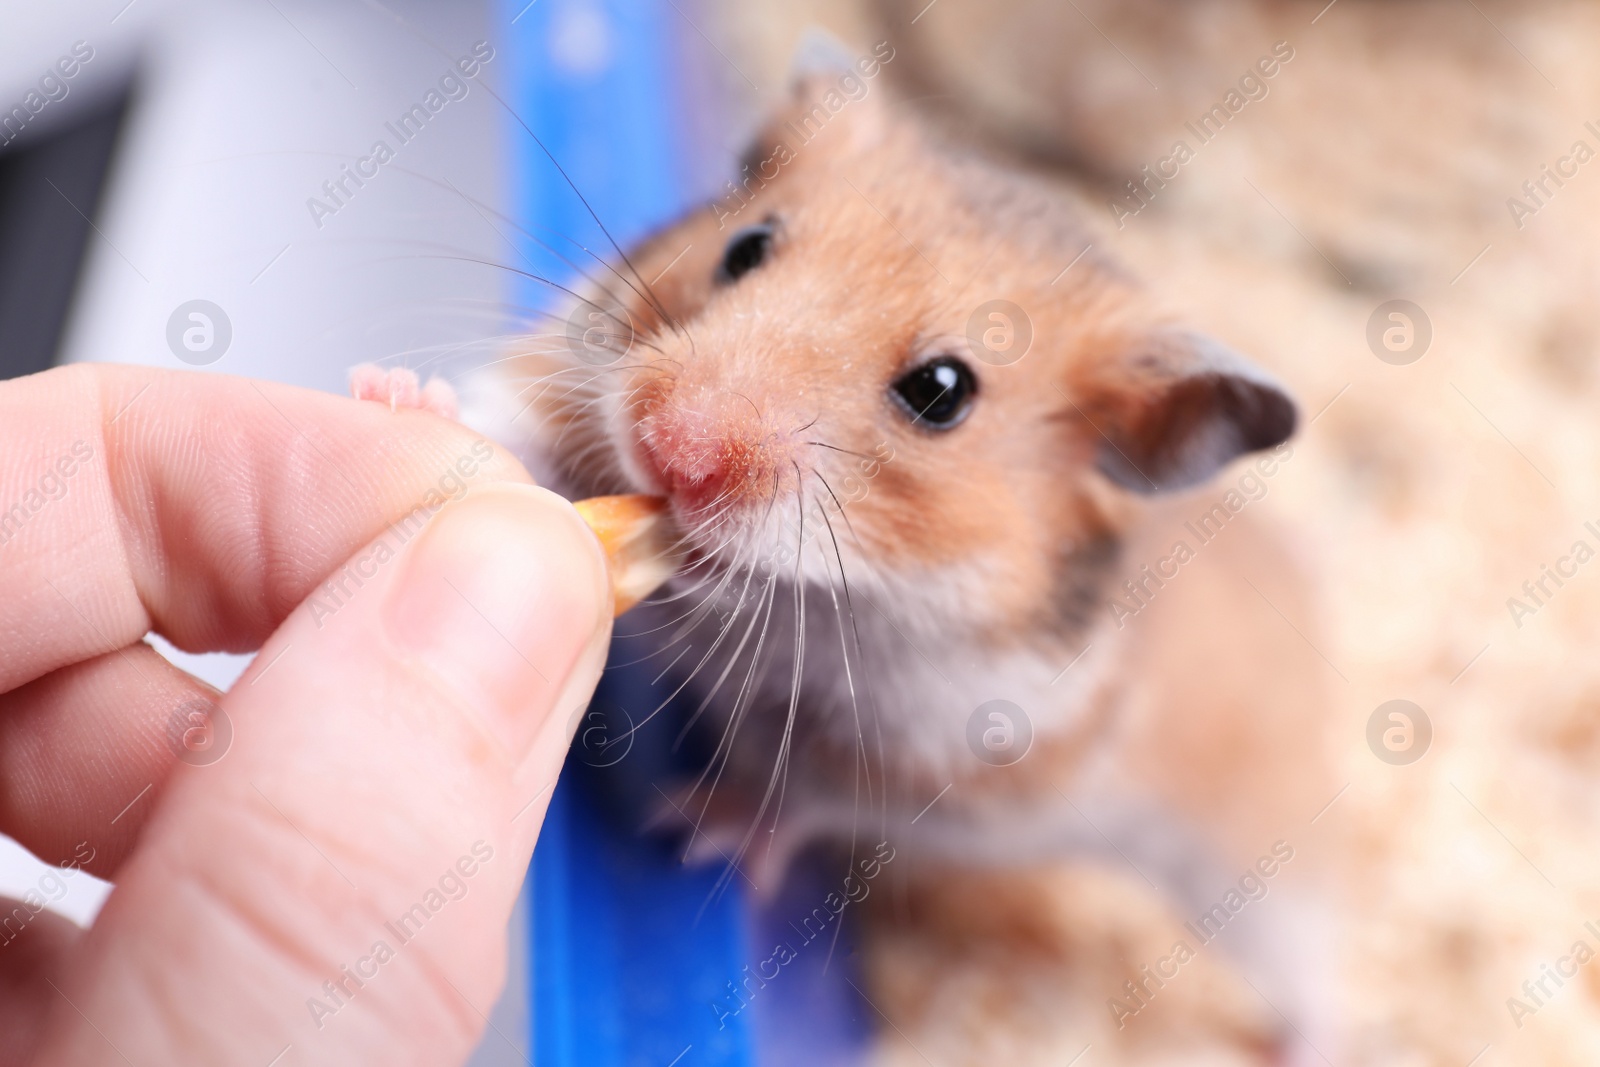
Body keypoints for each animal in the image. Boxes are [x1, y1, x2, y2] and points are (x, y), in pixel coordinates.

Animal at [470, 56, 1337, 1067]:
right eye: (745, 247)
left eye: (942, 391)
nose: (670, 451)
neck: (818, 597)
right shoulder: (584, 339)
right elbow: (523, 407)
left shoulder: (929, 759)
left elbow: (799, 792)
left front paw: (687, 829)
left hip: (1268, 871)